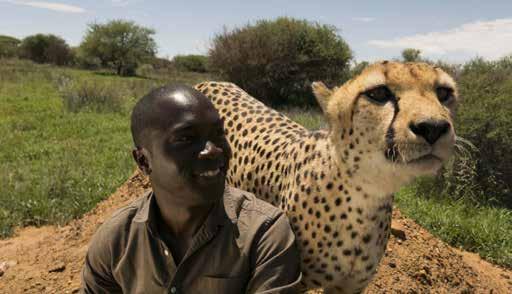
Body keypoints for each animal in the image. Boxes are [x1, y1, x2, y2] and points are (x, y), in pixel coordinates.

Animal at [194, 60, 458, 292]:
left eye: (444, 92)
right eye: (378, 93)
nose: (433, 127)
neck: (365, 195)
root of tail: (211, 81)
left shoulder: (350, 288)